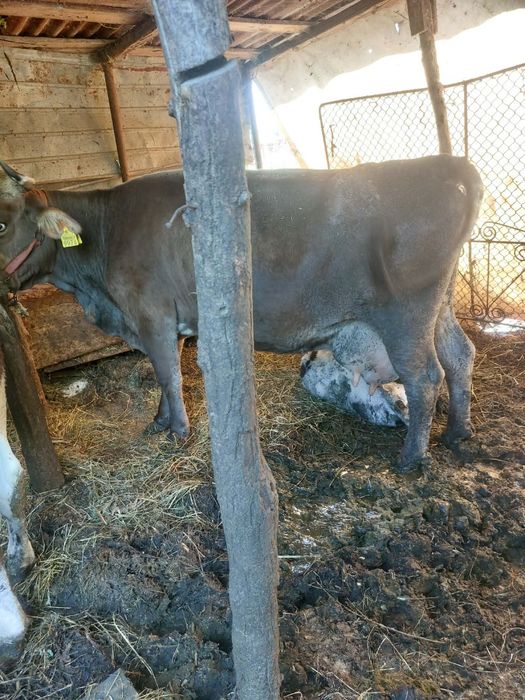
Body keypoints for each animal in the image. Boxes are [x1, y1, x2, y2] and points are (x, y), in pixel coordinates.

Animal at [0, 156, 483, 473]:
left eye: (2, 223)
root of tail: (441, 162)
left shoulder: (152, 313)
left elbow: (168, 375)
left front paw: (178, 432)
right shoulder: (165, 320)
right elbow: (163, 373)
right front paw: (158, 422)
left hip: (405, 314)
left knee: (425, 376)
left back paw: (411, 458)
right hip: (440, 307)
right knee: (460, 354)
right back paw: (457, 433)